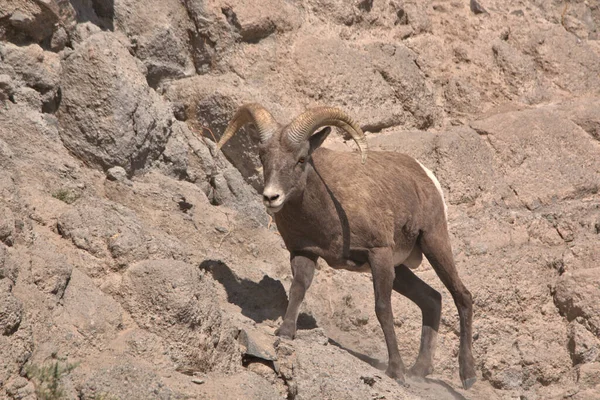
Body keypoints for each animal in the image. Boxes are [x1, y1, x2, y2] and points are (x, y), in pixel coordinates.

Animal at [218, 103, 476, 388]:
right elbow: (298, 289)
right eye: (262, 156)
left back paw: (467, 375)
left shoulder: (379, 254)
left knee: (462, 296)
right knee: (432, 299)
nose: (271, 197)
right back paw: (418, 371)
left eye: (301, 159)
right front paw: (285, 332)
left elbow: (383, 309)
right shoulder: (304, 252)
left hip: (433, 242)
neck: (326, 209)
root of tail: (426, 175)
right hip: (401, 269)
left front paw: (396, 372)